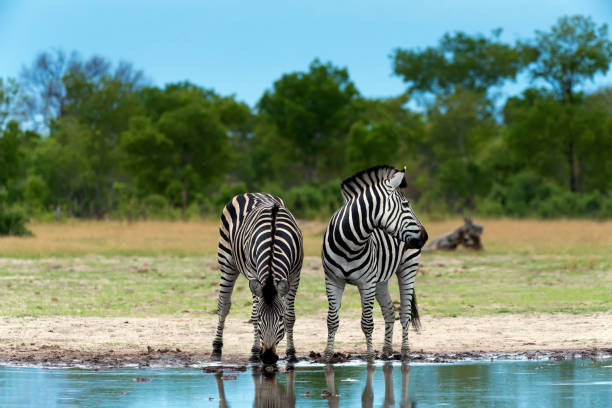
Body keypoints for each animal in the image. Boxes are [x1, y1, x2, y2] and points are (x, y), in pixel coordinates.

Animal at [210, 193, 304, 364]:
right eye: (261, 318)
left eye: (280, 318)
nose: (268, 357)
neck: (274, 240)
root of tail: (252, 193)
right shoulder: (253, 275)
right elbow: (253, 314)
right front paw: (254, 353)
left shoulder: (295, 276)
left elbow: (290, 316)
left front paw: (291, 354)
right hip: (227, 262)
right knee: (223, 306)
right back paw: (216, 349)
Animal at [322, 164, 428, 362]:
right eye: (405, 205)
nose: (425, 237)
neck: (350, 244)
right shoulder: (332, 280)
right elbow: (332, 320)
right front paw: (327, 355)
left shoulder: (366, 283)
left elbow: (367, 323)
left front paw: (370, 356)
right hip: (381, 279)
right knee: (389, 310)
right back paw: (386, 350)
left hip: (407, 268)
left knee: (404, 314)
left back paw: (405, 351)